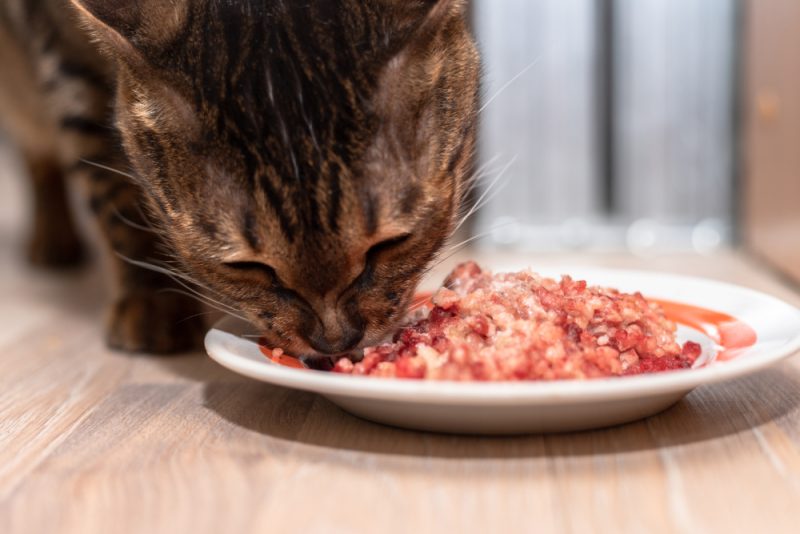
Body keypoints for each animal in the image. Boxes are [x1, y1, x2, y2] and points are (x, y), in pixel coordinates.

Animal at [0, 2, 482, 358]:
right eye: (246, 267)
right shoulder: (62, 58)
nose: (335, 343)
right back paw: (52, 240)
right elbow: (111, 191)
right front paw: (150, 300)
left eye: (391, 243)